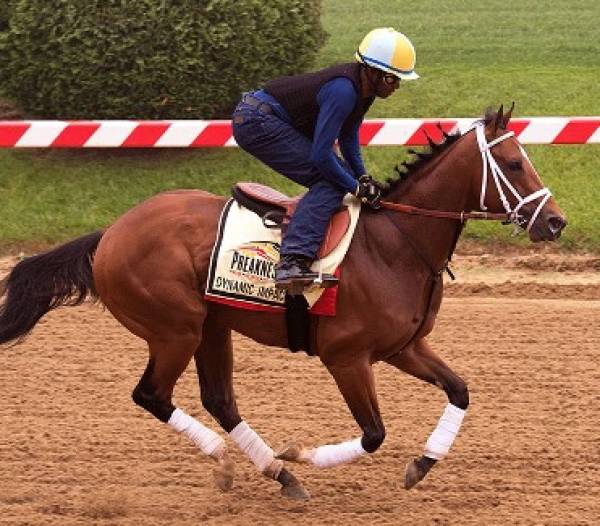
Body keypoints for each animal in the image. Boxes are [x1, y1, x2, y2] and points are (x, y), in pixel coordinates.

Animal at [0, 104, 564, 504]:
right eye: (514, 163)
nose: (555, 222)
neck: (396, 243)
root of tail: (109, 235)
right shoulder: (346, 357)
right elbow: (374, 433)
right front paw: (304, 453)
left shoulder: (404, 347)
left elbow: (460, 391)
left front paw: (421, 464)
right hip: (176, 329)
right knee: (152, 395)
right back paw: (234, 462)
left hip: (212, 326)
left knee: (220, 400)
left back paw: (277, 472)